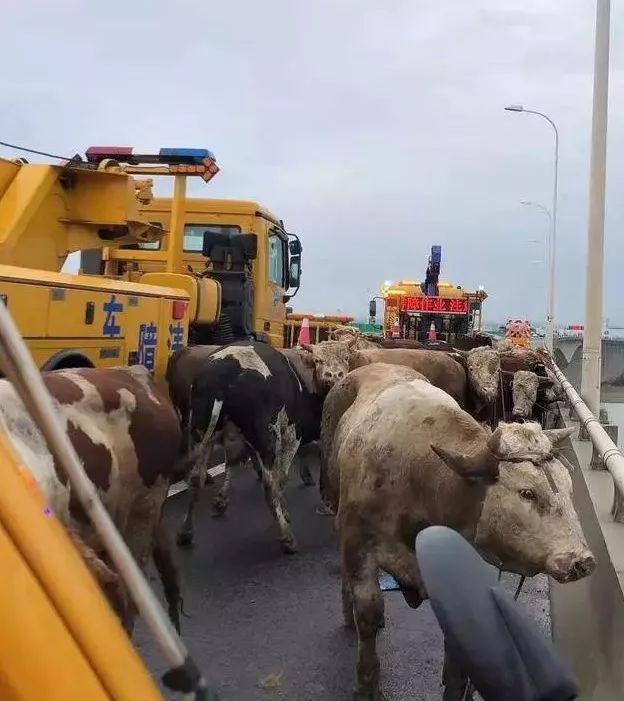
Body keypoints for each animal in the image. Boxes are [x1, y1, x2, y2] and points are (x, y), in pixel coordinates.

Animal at [178, 340, 354, 552]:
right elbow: (280, 477)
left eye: (346, 357)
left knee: (196, 477)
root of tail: (227, 367)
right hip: (267, 435)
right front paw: (284, 512)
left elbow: (234, 463)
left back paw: (186, 531)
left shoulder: (237, 439)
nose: (335, 375)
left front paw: (221, 500)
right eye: (318, 360)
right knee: (269, 484)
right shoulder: (291, 435)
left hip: (201, 431)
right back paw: (286, 536)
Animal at [322, 360, 596, 700]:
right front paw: (366, 685)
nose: (582, 560)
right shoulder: (355, 539)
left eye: (569, 487)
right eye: (527, 493)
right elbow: (368, 612)